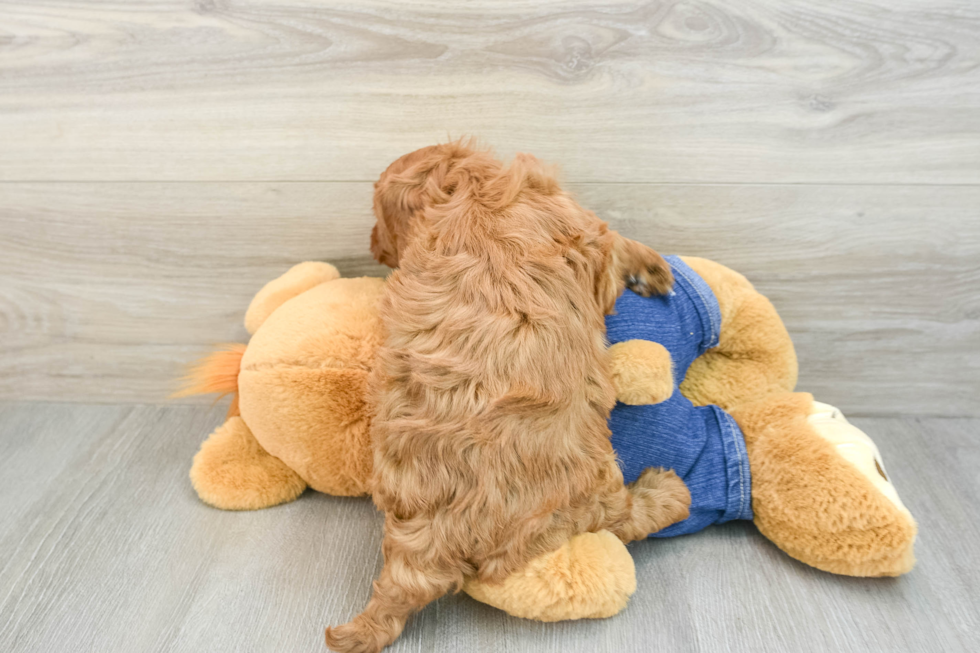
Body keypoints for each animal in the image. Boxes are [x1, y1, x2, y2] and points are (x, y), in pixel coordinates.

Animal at [328, 144, 688, 652]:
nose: (373, 246)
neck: (467, 187)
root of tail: (431, 547)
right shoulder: (588, 238)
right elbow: (618, 245)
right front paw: (654, 269)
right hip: (589, 492)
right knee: (624, 519)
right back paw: (668, 491)